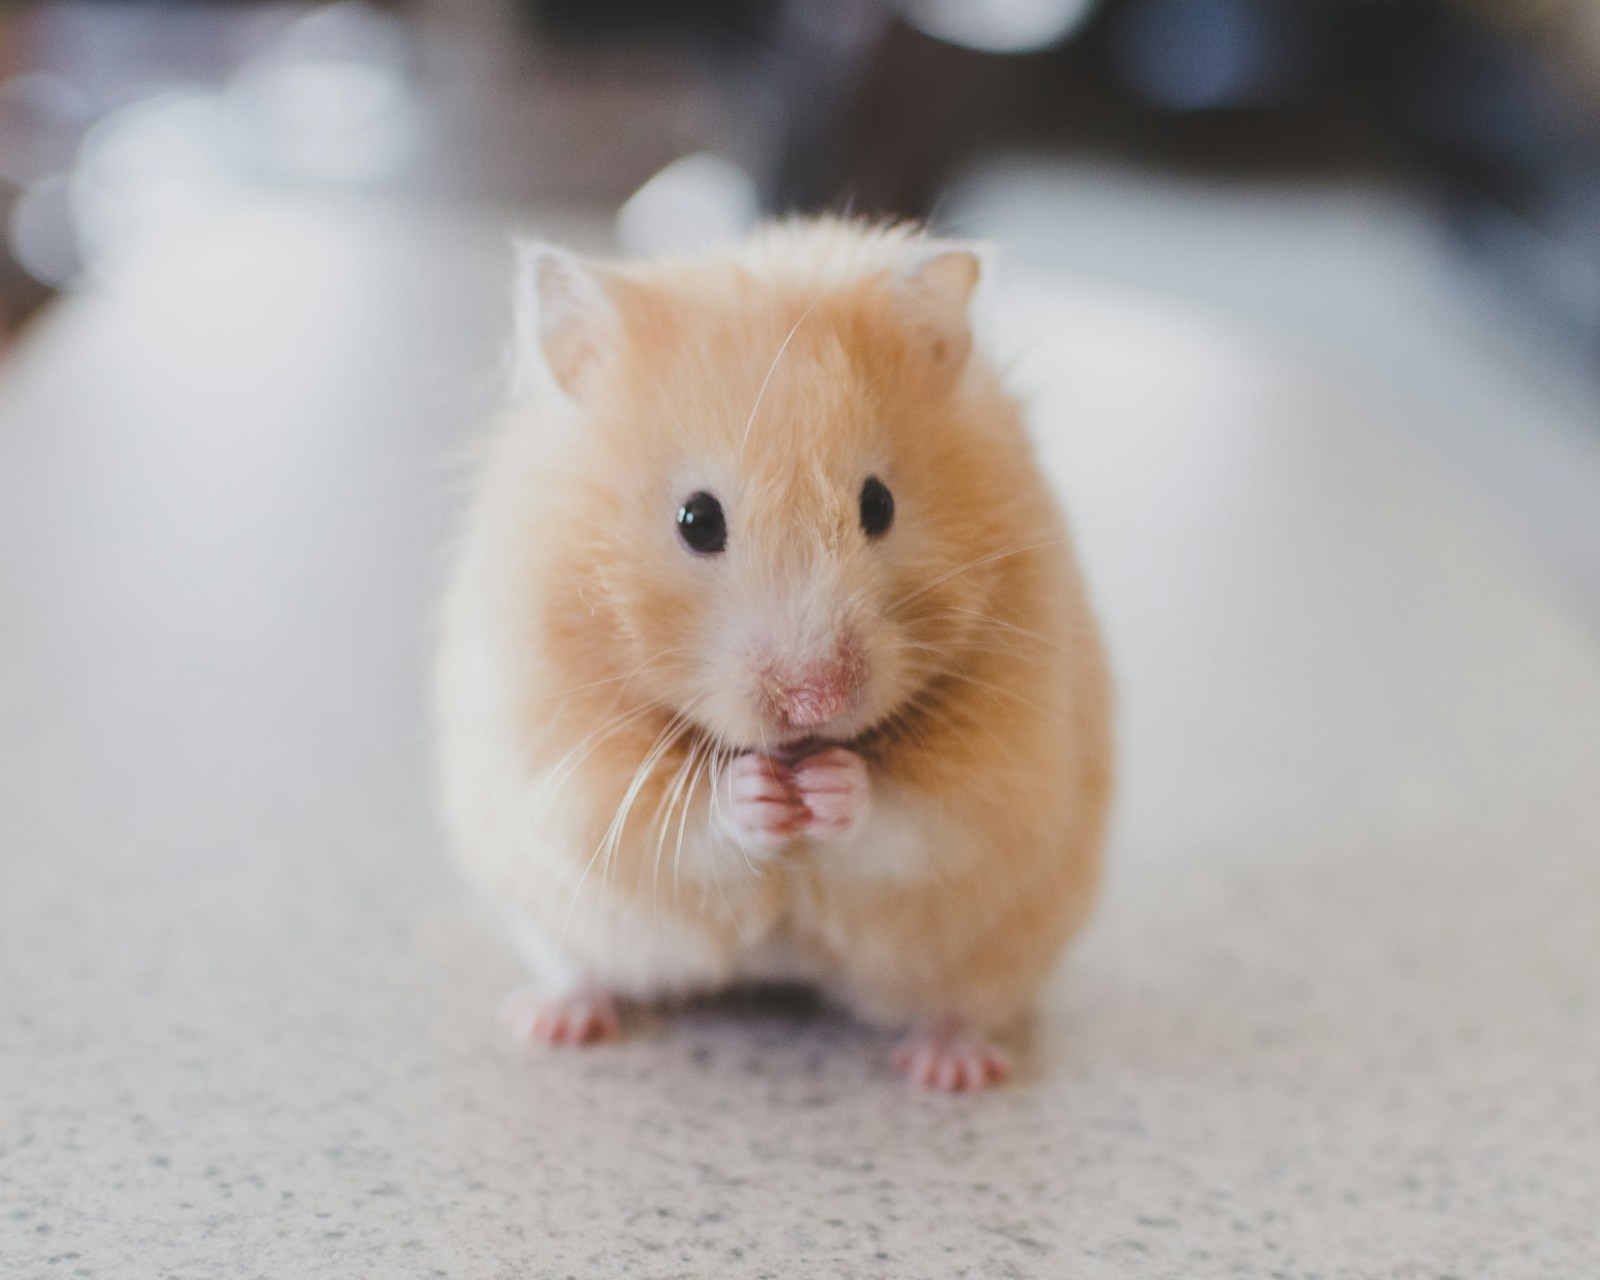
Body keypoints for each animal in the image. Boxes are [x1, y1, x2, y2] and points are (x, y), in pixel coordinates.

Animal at [433, 218, 1113, 1091]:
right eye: (696, 520)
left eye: (879, 505)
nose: (815, 702)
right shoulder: (564, 764)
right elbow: (678, 820)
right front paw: (759, 793)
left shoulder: (1007, 770)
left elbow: (918, 818)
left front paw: (829, 788)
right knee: (581, 968)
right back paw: (551, 1022)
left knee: (961, 1003)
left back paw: (950, 1069)